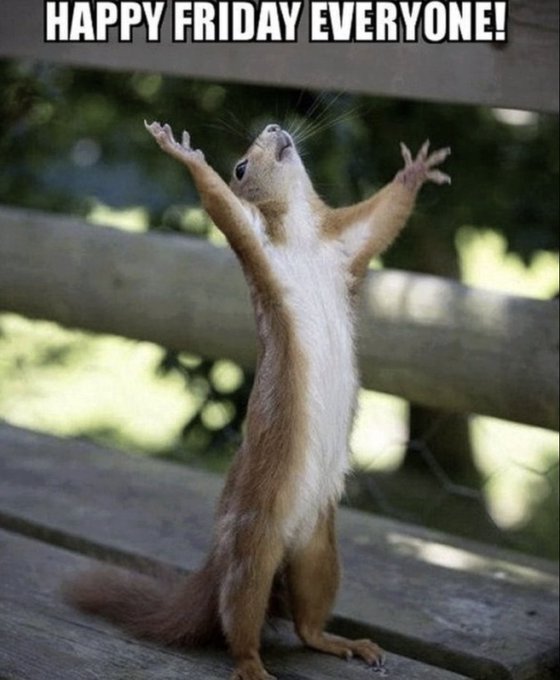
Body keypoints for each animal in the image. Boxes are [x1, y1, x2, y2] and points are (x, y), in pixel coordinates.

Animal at [67, 119, 450, 680]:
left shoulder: (346, 244)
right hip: (253, 549)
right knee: (240, 618)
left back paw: (342, 642)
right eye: (240, 166)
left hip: (319, 551)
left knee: (307, 622)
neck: (304, 236)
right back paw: (251, 665)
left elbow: (383, 217)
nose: (273, 127)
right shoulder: (255, 242)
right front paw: (184, 154)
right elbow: (220, 205)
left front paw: (416, 170)